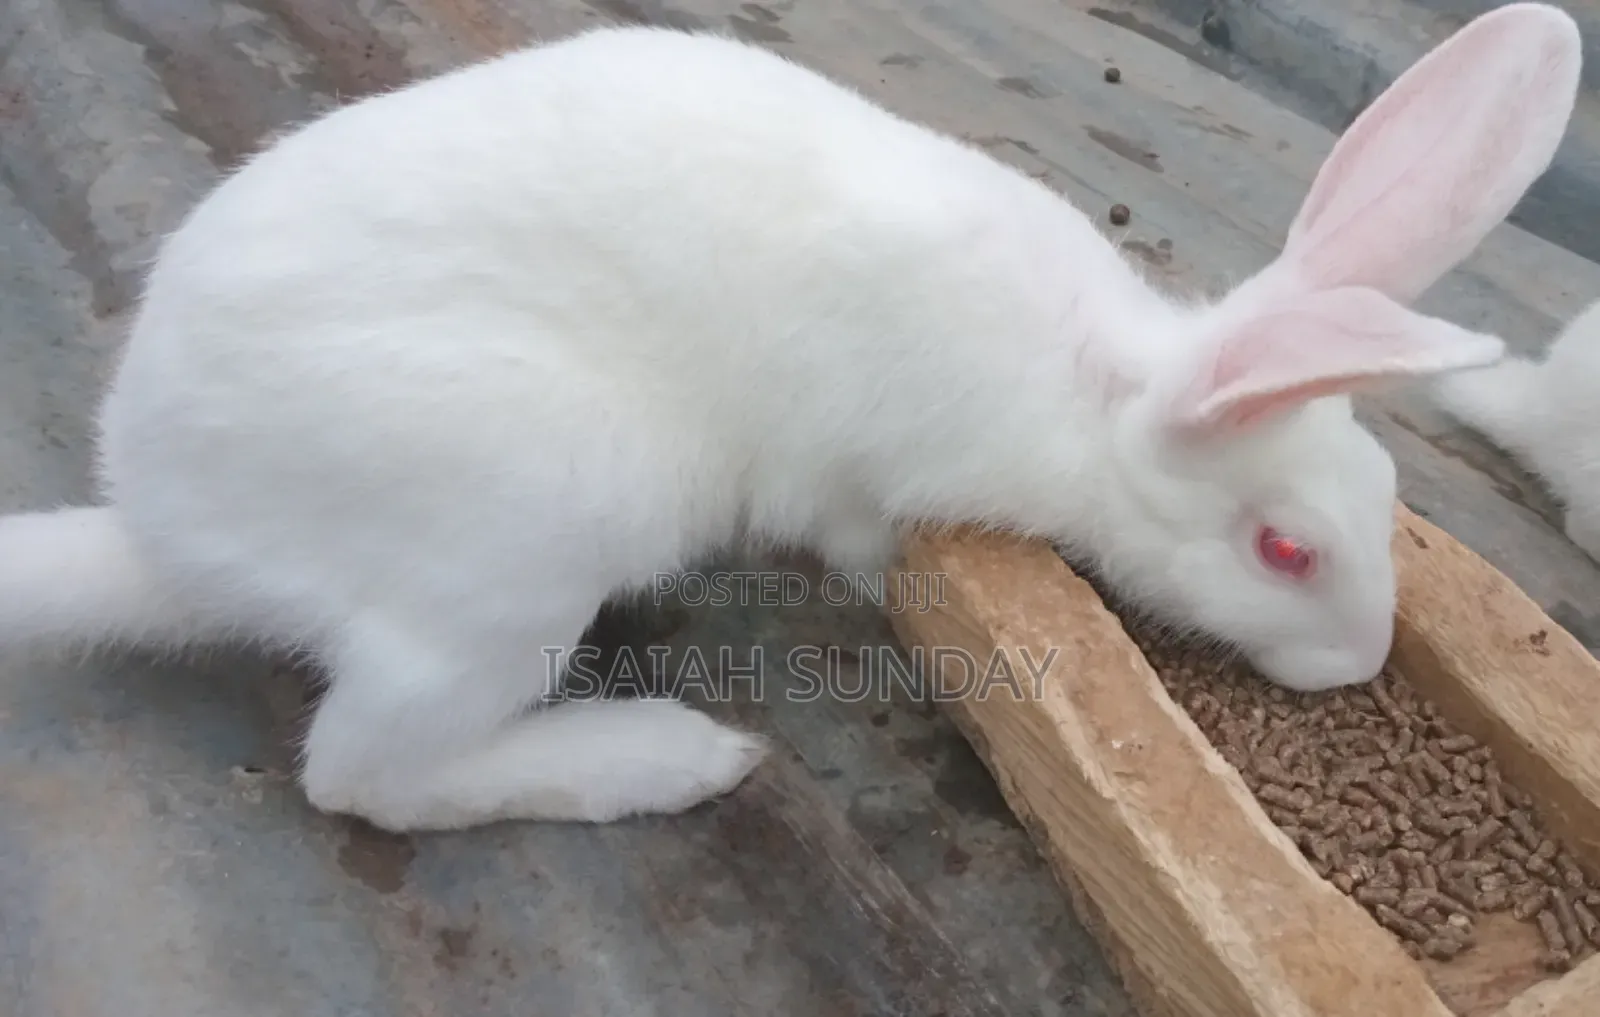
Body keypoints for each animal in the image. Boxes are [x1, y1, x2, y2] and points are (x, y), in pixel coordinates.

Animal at [0, 5, 1580, 833]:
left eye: (1386, 501)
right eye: (1286, 552)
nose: (1359, 664)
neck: (1086, 389)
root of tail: (168, 539)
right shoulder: (858, 477)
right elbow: (863, 538)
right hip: (530, 525)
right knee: (366, 775)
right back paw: (669, 759)